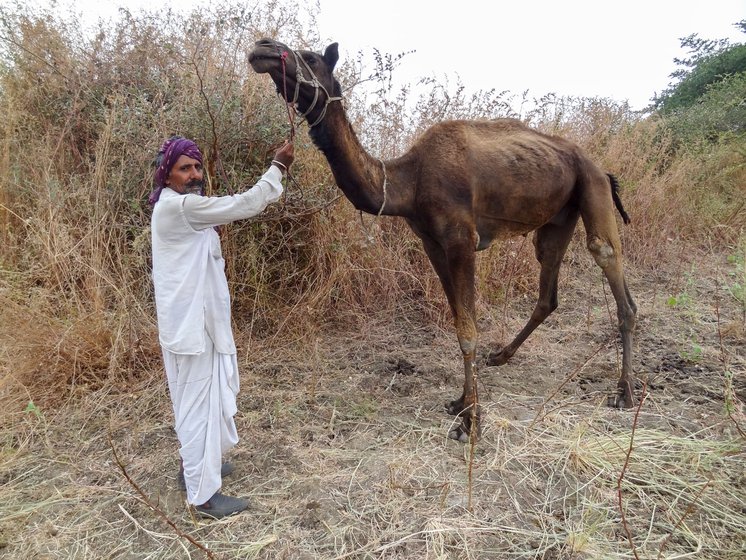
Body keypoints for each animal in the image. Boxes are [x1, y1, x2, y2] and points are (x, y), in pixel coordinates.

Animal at [248, 39, 632, 442]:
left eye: (310, 57)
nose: (263, 47)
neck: (408, 182)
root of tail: (601, 167)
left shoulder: (462, 238)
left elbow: (468, 329)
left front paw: (470, 421)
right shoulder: (432, 242)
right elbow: (458, 318)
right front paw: (461, 402)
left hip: (592, 186)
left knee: (610, 263)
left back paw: (624, 392)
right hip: (558, 217)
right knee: (548, 289)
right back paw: (502, 355)